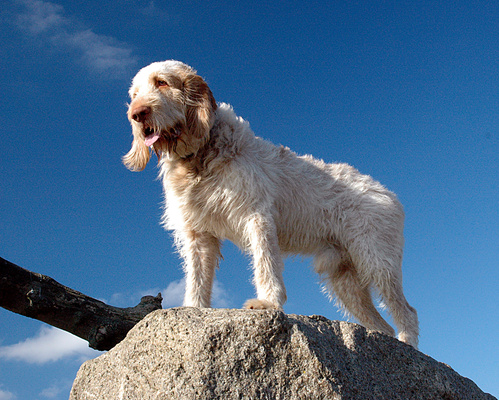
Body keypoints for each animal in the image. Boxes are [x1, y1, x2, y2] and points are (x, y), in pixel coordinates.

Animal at [123, 59, 420, 346]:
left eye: (162, 82)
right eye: (134, 94)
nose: (137, 114)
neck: (200, 156)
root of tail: (389, 195)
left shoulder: (256, 216)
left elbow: (265, 262)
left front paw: (268, 302)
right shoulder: (198, 233)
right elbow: (198, 277)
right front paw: (193, 308)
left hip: (377, 261)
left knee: (407, 312)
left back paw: (408, 345)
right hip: (344, 277)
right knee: (383, 325)